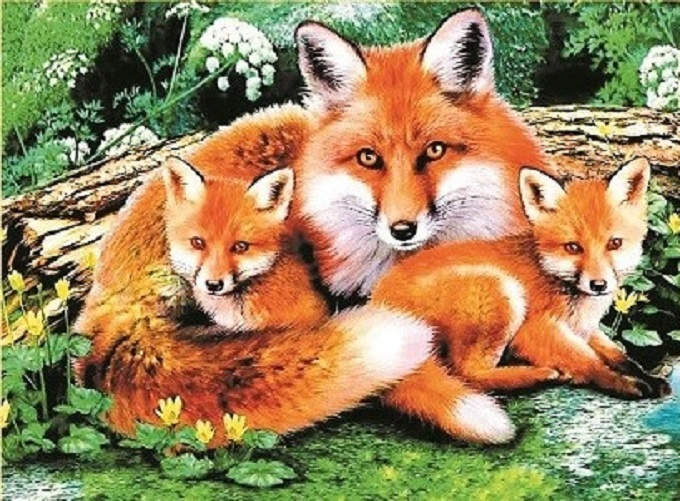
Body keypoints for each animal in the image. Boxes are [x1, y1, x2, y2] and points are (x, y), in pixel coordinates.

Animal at [371, 157, 671, 444]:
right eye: (573, 247)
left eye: (614, 243)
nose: (599, 285)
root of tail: (379, 302)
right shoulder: (534, 330)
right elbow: (589, 361)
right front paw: (622, 383)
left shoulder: (584, 329)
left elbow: (620, 355)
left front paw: (646, 375)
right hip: (501, 290)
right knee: (468, 373)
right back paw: (538, 375)